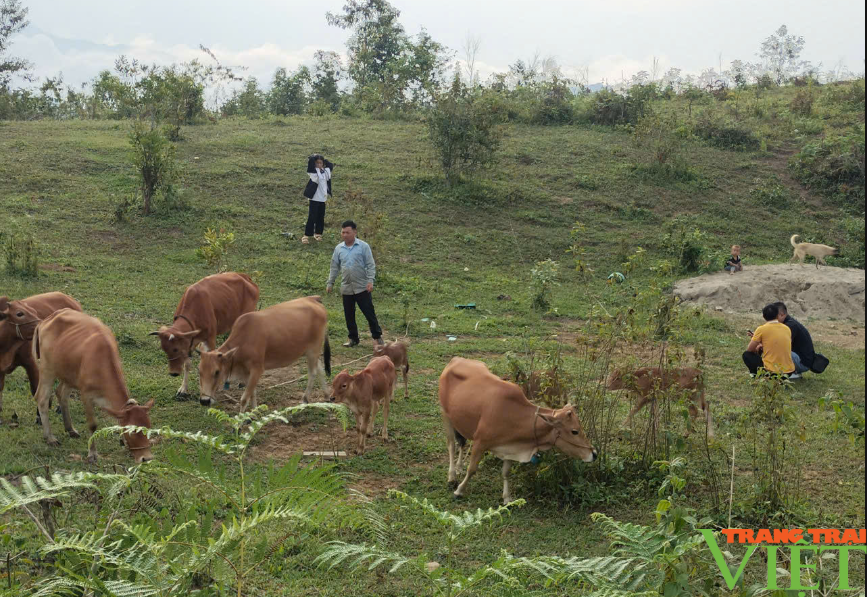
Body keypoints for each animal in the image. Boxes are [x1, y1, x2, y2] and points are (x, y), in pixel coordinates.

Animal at [0, 292, 82, 422]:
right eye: (19, 313)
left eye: (34, 311)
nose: (42, 324)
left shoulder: (30, 362)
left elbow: (35, 389)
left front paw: (39, 416)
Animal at [32, 308, 156, 460]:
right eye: (132, 431)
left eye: (148, 427)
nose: (147, 458)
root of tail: (47, 319)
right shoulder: (86, 395)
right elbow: (92, 425)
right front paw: (92, 454)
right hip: (47, 369)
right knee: (42, 398)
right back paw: (50, 437)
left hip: (69, 374)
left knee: (61, 393)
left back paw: (70, 429)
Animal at [198, 296, 330, 412]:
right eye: (199, 371)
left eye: (217, 372)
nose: (204, 401)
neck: (243, 341)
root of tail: (313, 299)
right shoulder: (246, 372)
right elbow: (252, 393)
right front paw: (253, 413)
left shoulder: (257, 369)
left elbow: (244, 399)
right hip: (309, 352)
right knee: (320, 368)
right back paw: (327, 395)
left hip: (313, 350)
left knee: (312, 373)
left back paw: (305, 399)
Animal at [440, 356, 596, 500]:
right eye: (574, 431)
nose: (594, 454)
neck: (513, 413)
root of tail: (457, 359)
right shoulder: (480, 442)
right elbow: (472, 469)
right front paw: (459, 491)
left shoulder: (511, 446)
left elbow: (506, 472)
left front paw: (507, 498)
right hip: (446, 416)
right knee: (451, 445)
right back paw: (452, 476)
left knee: (461, 443)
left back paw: (458, 468)